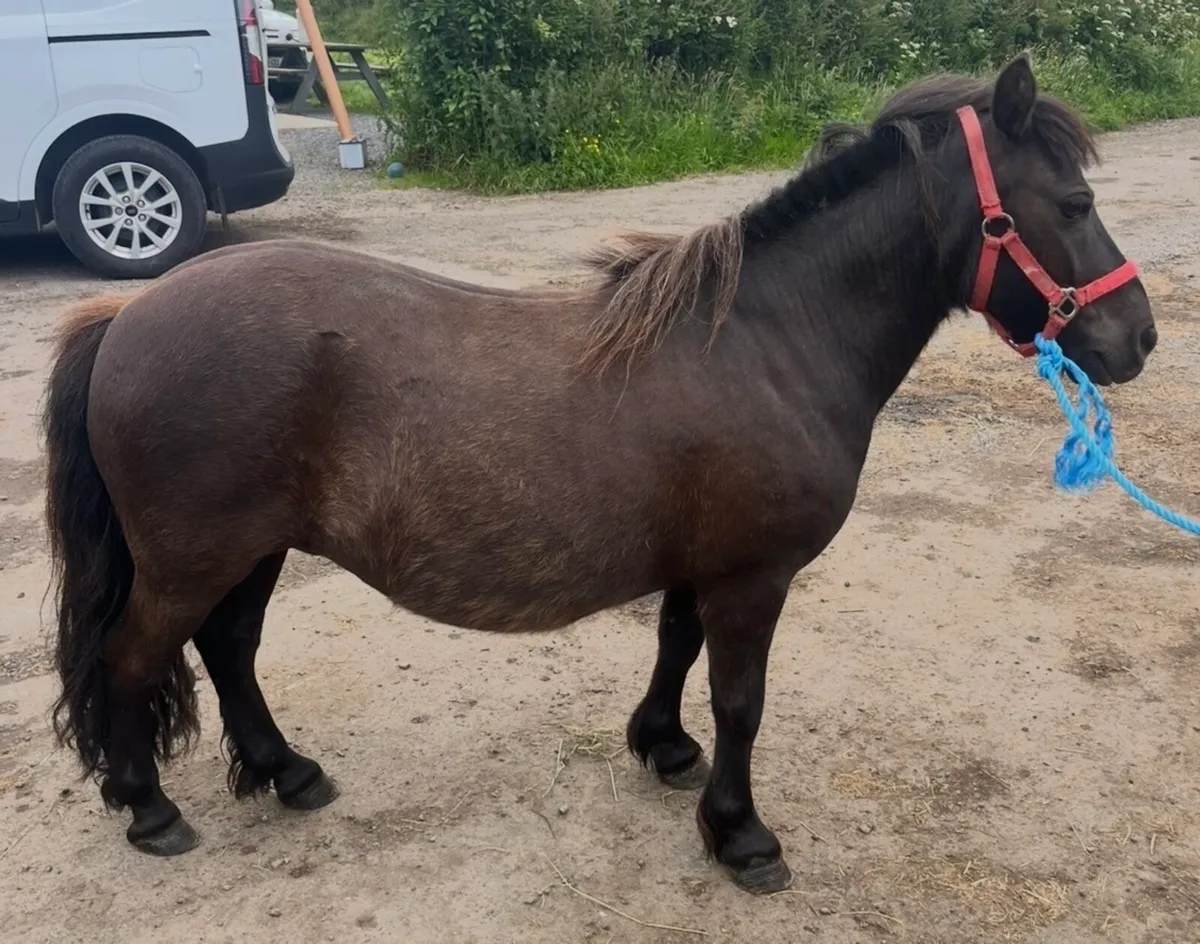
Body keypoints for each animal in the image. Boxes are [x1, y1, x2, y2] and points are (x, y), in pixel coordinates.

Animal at [43, 55, 1155, 893]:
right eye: (1073, 201)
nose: (1136, 337)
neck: (768, 339)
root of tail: (128, 314)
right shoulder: (753, 579)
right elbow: (740, 699)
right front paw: (741, 834)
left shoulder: (702, 567)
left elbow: (675, 647)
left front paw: (662, 747)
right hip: (194, 557)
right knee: (136, 656)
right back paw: (150, 807)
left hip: (254, 547)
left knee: (230, 649)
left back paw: (287, 771)